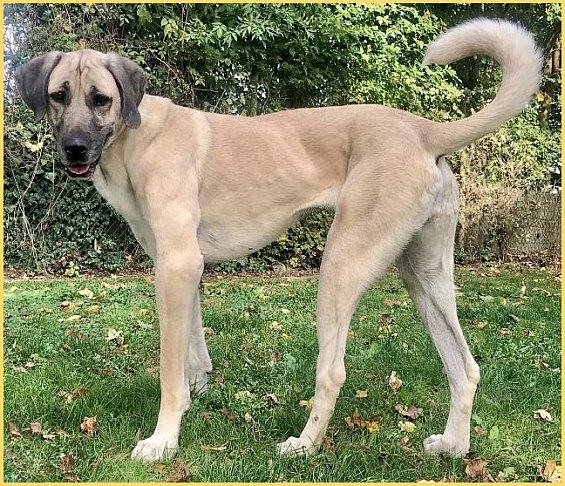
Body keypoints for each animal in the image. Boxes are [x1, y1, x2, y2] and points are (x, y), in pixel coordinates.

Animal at [16, 18, 542, 461]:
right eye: (59, 95)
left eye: (100, 99)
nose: (74, 149)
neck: (134, 138)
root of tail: (423, 129)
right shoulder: (185, 271)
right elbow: (193, 350)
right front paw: (197, 397)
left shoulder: (176, 266)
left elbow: (169, 368)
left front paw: (163, 440)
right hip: (425, 277)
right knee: (464, 368)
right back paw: (453, 446)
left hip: (341, 265)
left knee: (333, 372)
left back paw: (304, 446)